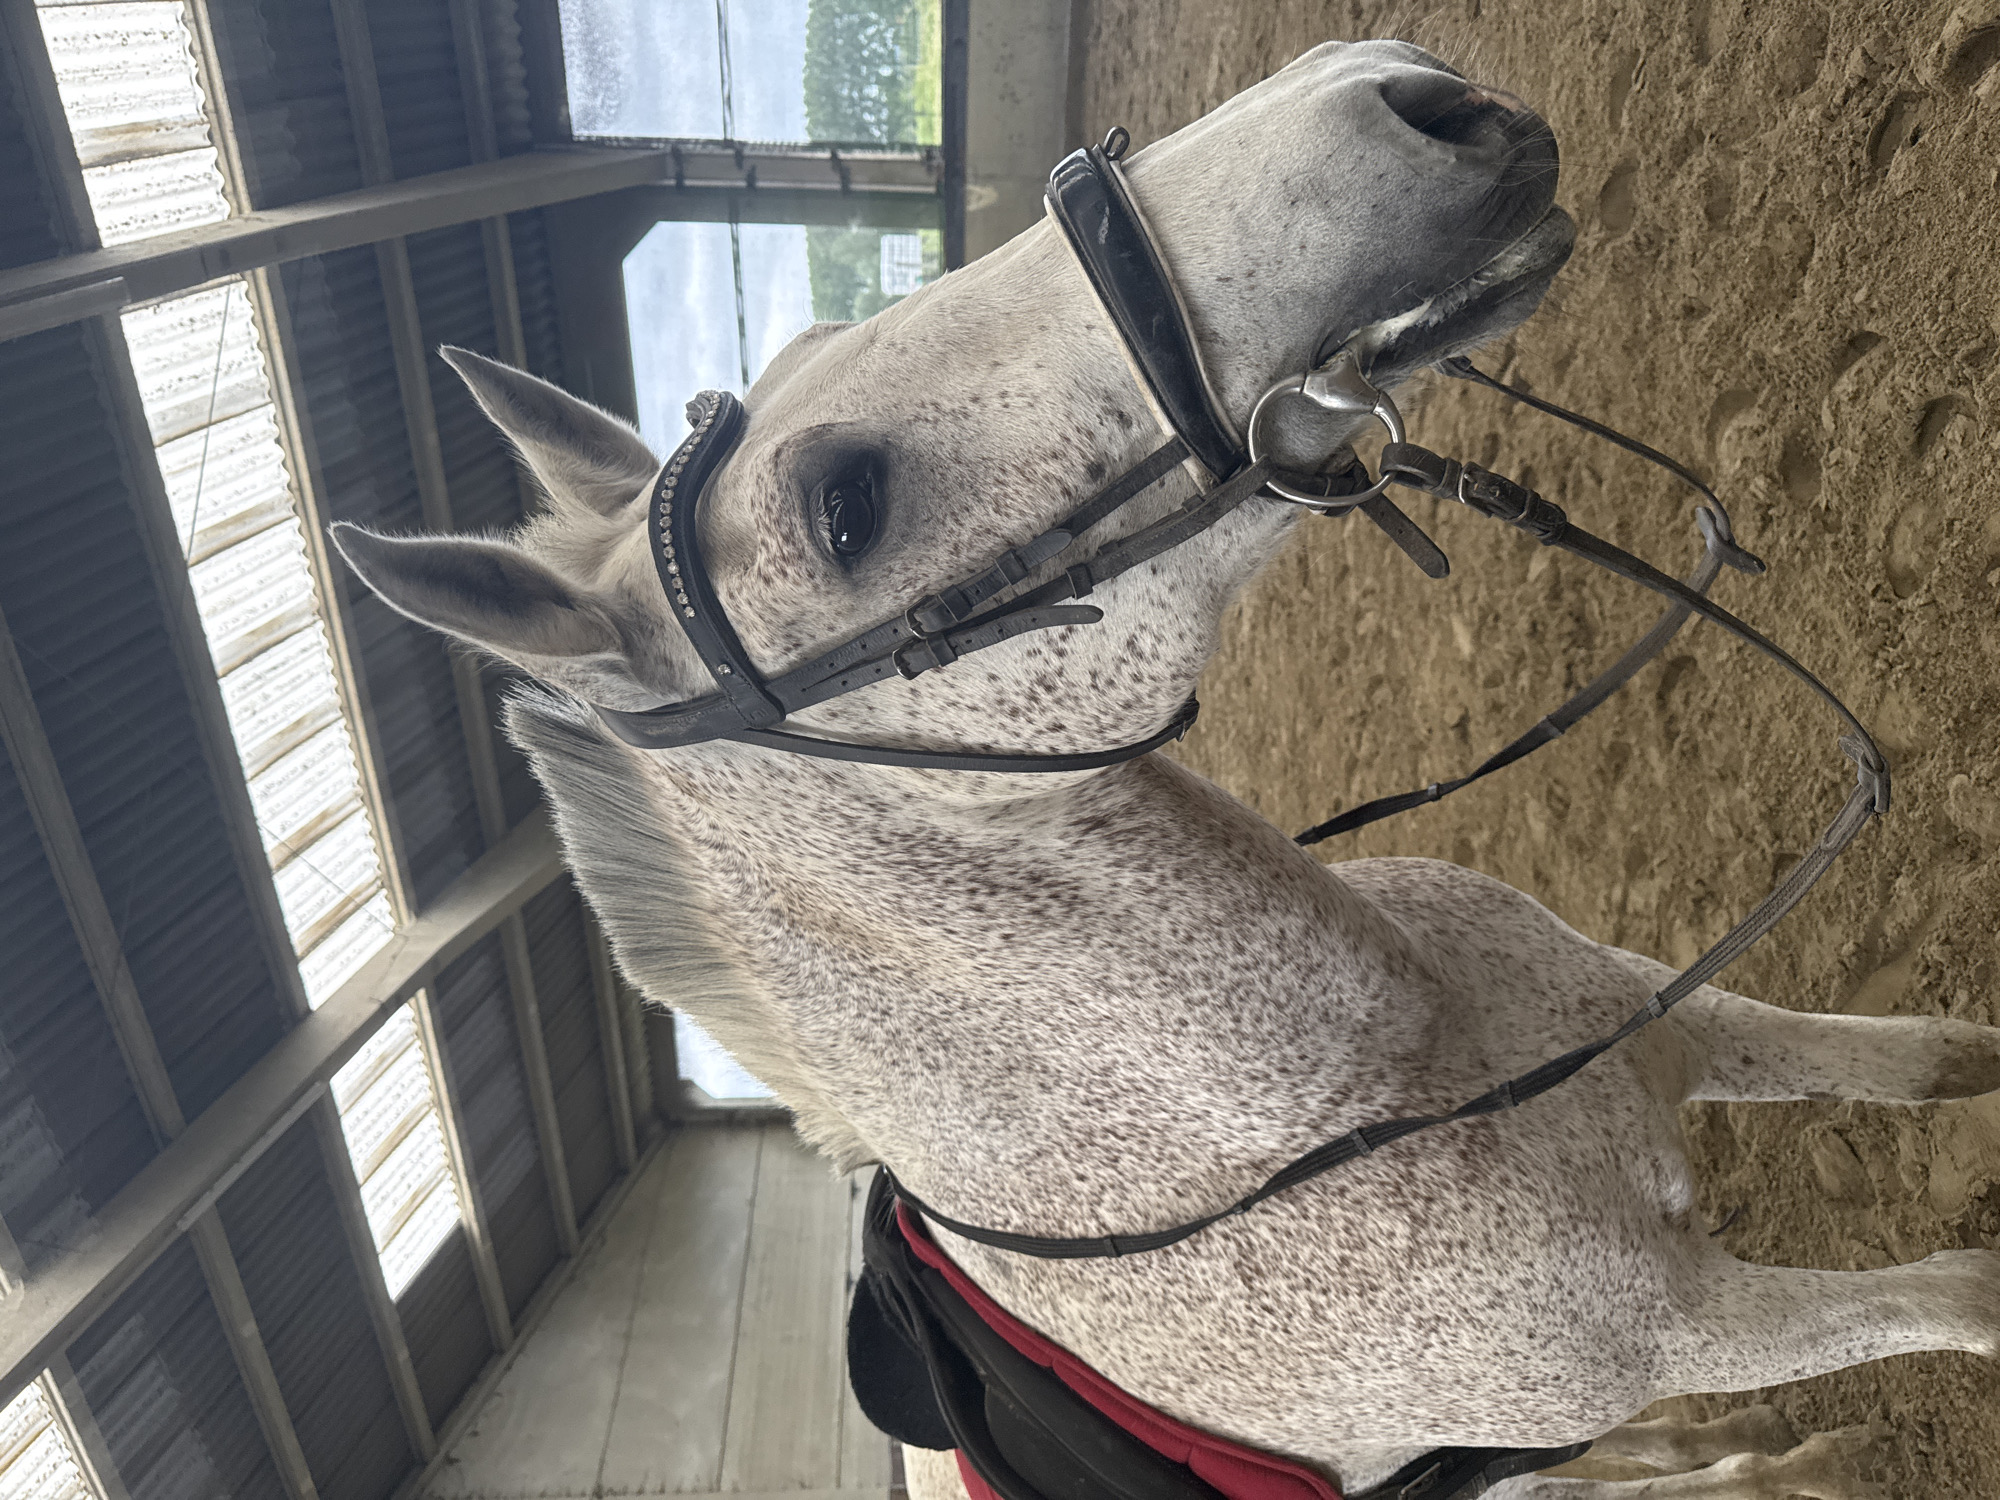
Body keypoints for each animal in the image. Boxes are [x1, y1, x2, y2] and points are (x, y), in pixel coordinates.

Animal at [332, 39, 2000, 1500]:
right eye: (846, 507)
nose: (1401, 93)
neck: (1365, 1086)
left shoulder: (1669, 1014)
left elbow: (1912, 1059)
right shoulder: (1684, 1327)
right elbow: (1958, 1298)